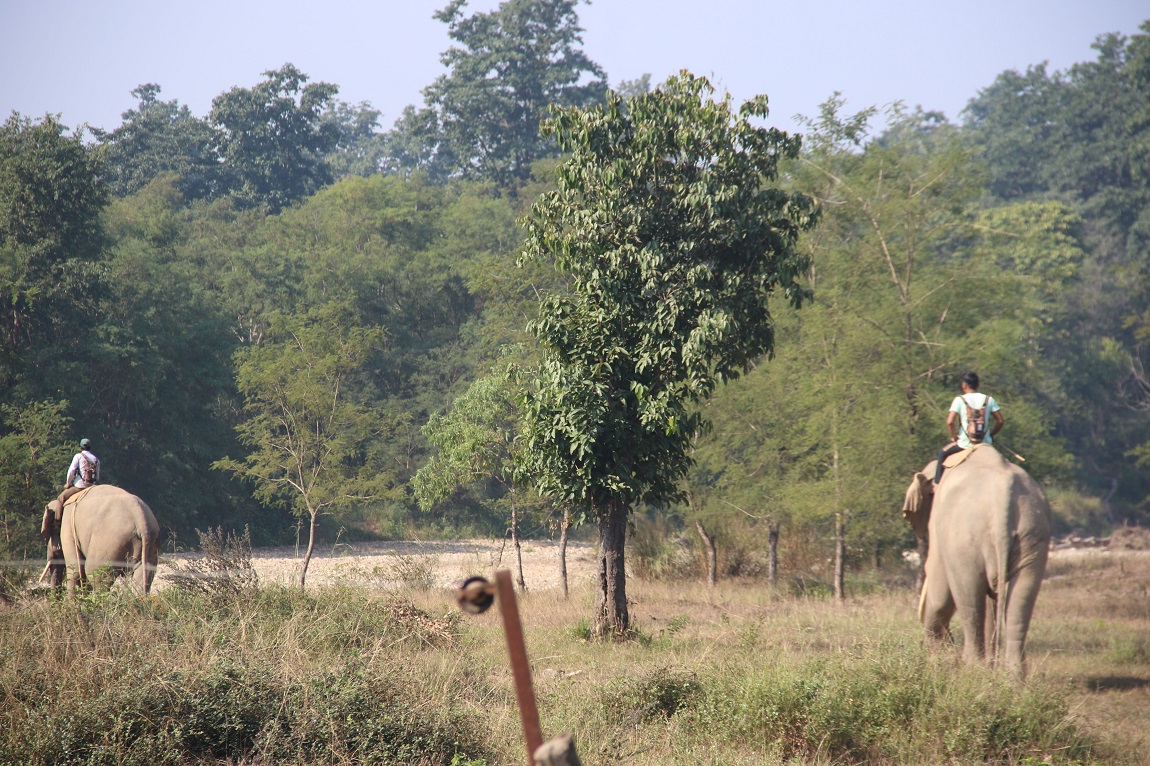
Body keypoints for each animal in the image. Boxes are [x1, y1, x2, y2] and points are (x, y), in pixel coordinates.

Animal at [901, 441, 1053, 676]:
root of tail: (1003, 497)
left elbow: (939, 589)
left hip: (964, 540)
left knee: (967, 593)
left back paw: (972, 670)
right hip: (1033, 535)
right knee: (1021, 597)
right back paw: (1010, 677)